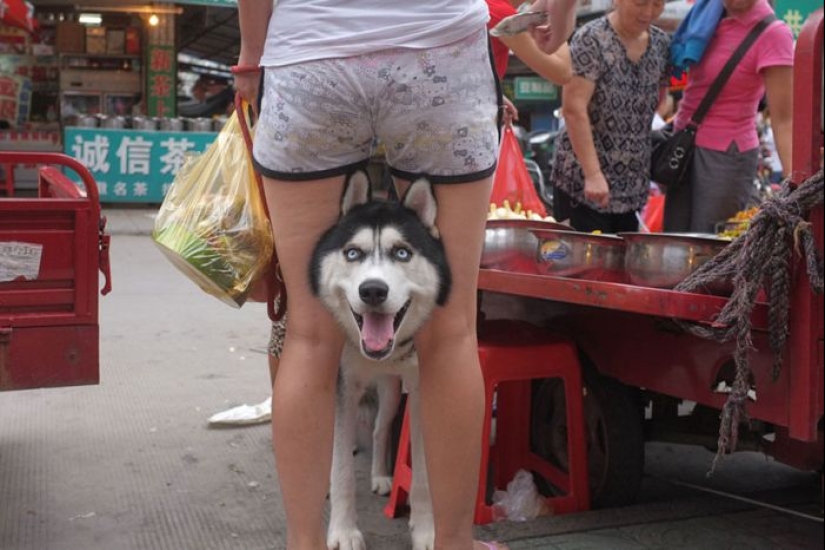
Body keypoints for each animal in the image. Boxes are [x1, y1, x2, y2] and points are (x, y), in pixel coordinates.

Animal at [308, 172, 450, 550]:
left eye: (402, 253)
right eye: (352, 253)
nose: (373, 290)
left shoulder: (421, 392)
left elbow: (425, 474)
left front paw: (426, 530)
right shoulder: (342, 390)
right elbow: (341, 468)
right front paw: (343, 531)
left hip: (391, 392)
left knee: (379, 427)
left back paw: (381, 475)